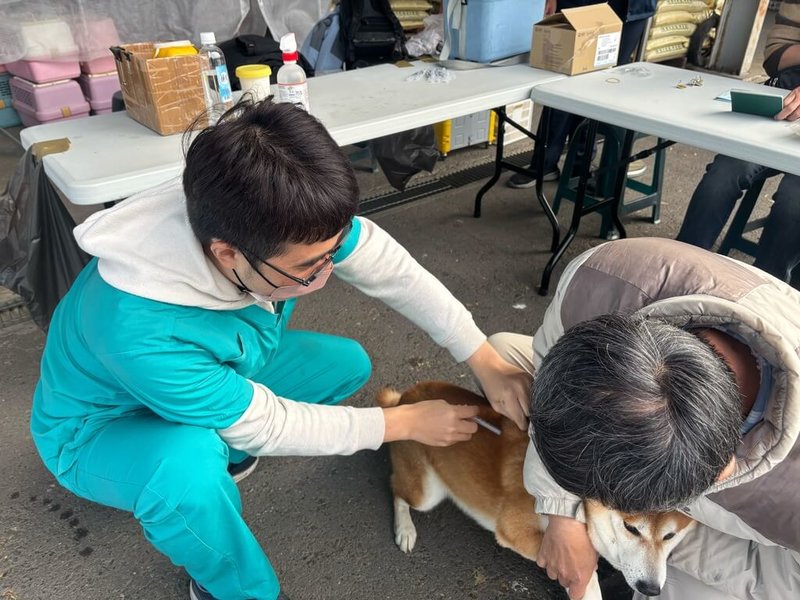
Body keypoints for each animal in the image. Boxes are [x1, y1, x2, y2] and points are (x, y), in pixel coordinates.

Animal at [376, 382, 692, 596]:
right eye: (631, 528)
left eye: (670, 536)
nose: (651, 588)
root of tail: (404, 398)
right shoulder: (518, 529)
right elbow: (581, 573)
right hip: (426, 492)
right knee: (395, 487)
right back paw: (405, 529)